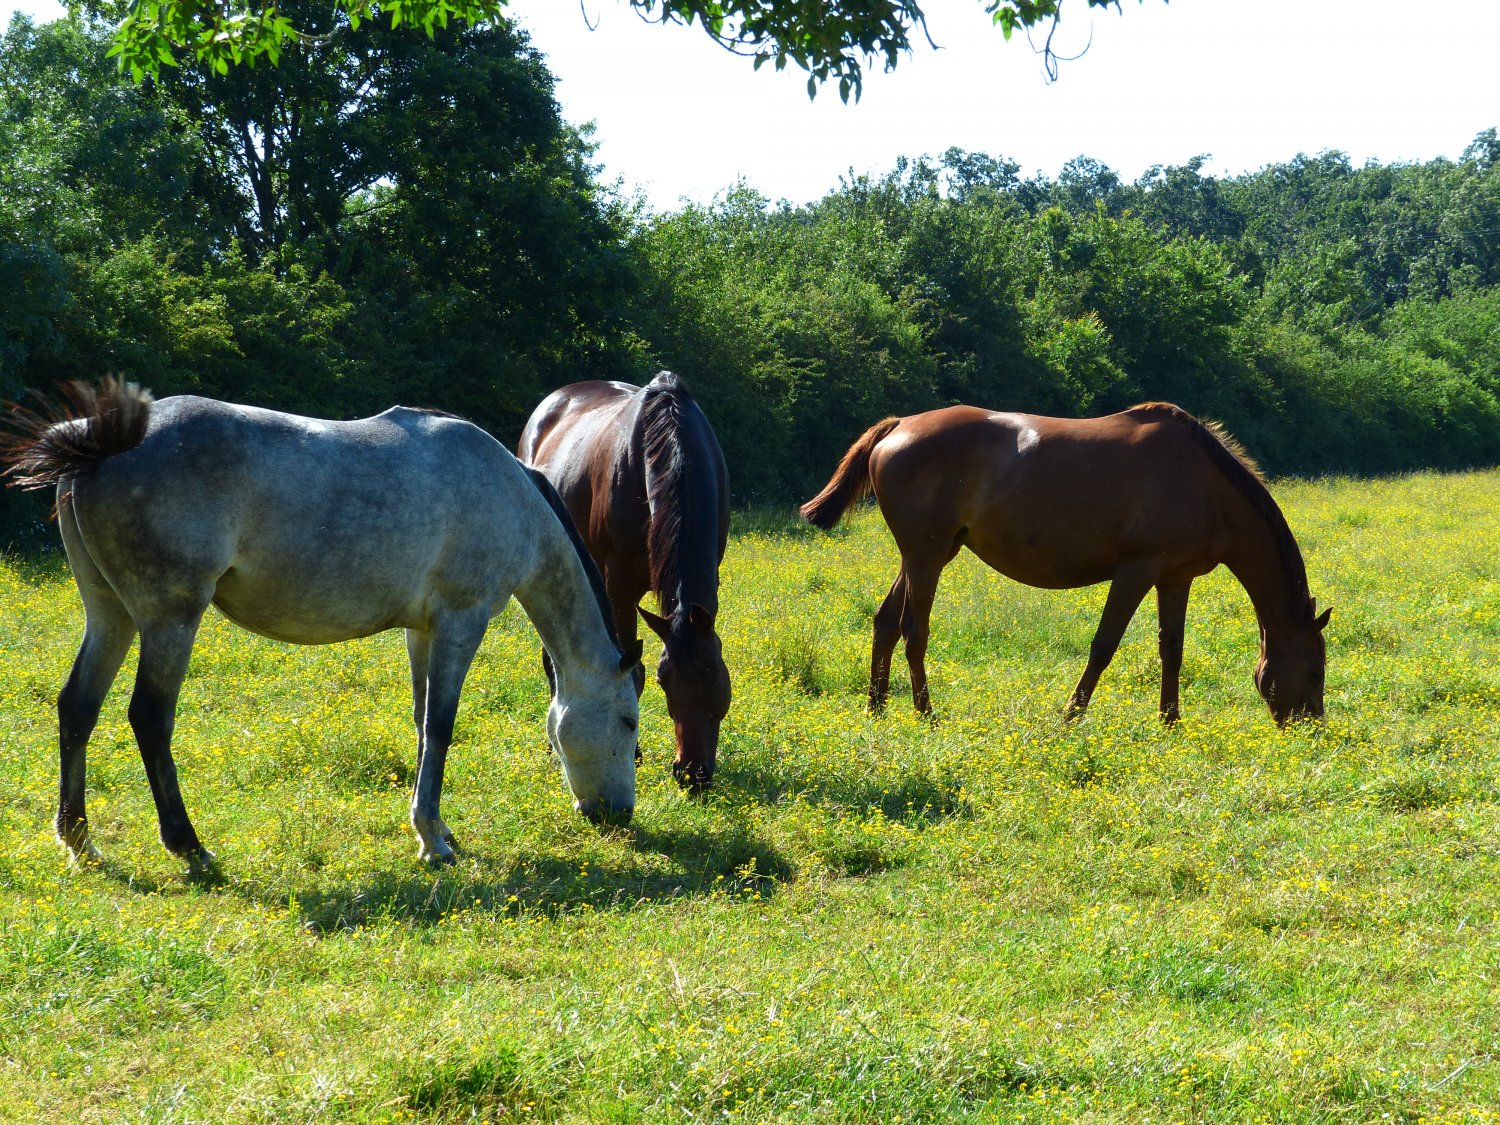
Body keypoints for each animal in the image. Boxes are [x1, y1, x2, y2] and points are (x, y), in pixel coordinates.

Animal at [1, 379, 642, 868]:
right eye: (630, 721)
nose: (617, 815)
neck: (509, 494)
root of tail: (96, 442)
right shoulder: (463, 620)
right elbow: (440, 726)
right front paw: (433, 843)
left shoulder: (423, 630)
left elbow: (421, 722)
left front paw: (436, 827)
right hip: (170, 619)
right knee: (149, 718)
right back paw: (190, 848)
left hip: (110, 615)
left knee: (77, 708)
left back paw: (78, 841)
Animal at [519, 372, 731, 791]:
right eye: (666, 682)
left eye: (715, 676)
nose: (692, 773)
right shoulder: (618, 588)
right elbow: (632, 672)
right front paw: (631, 753)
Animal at [800, 402, 1330, 725]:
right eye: (1316, 671)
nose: (1311, 726)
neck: (1204, 484)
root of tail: (898, 426)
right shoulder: (1135, 572)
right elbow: (1104, 646)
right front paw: (1071, 715)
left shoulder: (1173, 579)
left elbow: (1172, 650)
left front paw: (1170, 722)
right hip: (926, 556)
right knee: (914, 629)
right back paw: (925, 713)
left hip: (925, 555)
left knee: (886, 622)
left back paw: (877, 707)